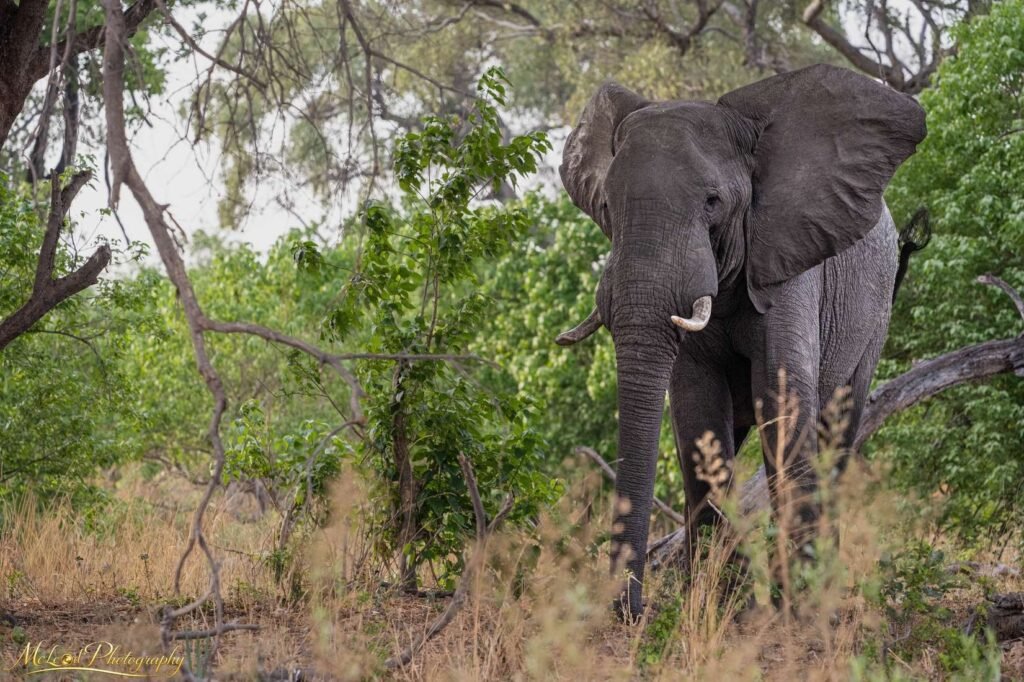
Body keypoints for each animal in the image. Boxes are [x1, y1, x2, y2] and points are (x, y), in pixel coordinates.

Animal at [554, 64, 926, 620]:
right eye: (606, 205)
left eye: (713, 203)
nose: (630, 612)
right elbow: (698, 413)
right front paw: (715, 600)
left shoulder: (789, 260)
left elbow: (782, 398)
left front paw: (794, 611)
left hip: (874, 318)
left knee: (837, 433)